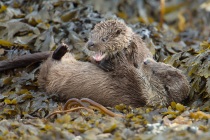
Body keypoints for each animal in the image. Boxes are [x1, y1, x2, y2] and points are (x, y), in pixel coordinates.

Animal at [38, 44, 190, 107]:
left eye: (154, 72)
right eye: (161, 63)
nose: (146, 61)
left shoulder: (132, 83)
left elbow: (123, 67)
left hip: (49, 78)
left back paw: (60, 50)